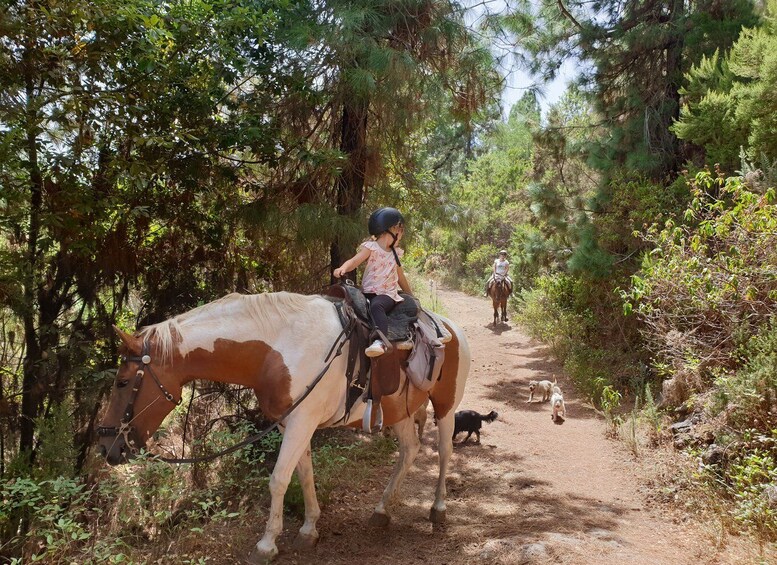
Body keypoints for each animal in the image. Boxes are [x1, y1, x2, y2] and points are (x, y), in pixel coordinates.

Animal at [100, 294, 470, 560]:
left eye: (122, 382)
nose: (108, 448)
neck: (277, 350)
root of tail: (448, 326)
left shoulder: (301, 422)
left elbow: (278, 479)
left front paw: (267, 545)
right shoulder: (289, 424)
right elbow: (303, 473)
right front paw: (309, 529)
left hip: (446, 406)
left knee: (444, 451)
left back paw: (438, 508)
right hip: (400, 411)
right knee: (409, 451)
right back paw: (381, 510)